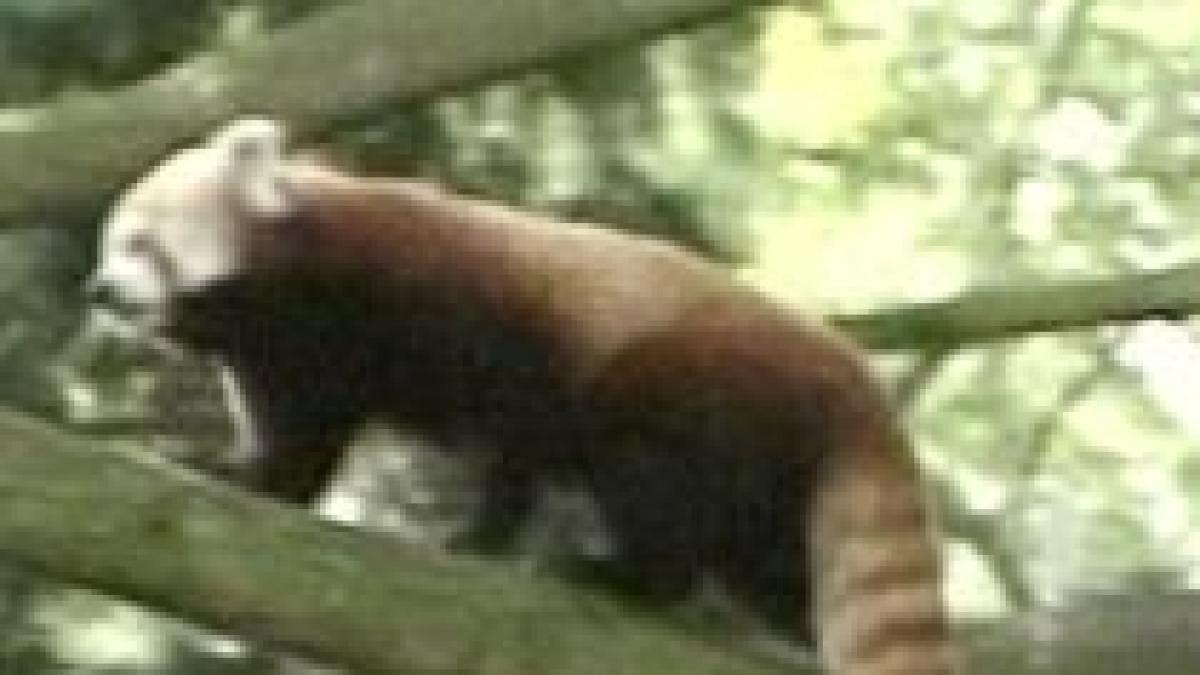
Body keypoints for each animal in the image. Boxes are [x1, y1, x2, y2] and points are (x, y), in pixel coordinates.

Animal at [86, 118, 957, 675]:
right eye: (110, 246)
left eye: (139, 242)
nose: (97, 290)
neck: (297, 290)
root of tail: (849, 378)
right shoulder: (293, 364)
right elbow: (301, 443)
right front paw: (249, 476)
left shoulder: (446, 298)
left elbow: (519, 428)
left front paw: (481, 533)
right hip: (775, 478)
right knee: (769, 566)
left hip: (703, 383)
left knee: (648, 467)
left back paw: (622, 573)